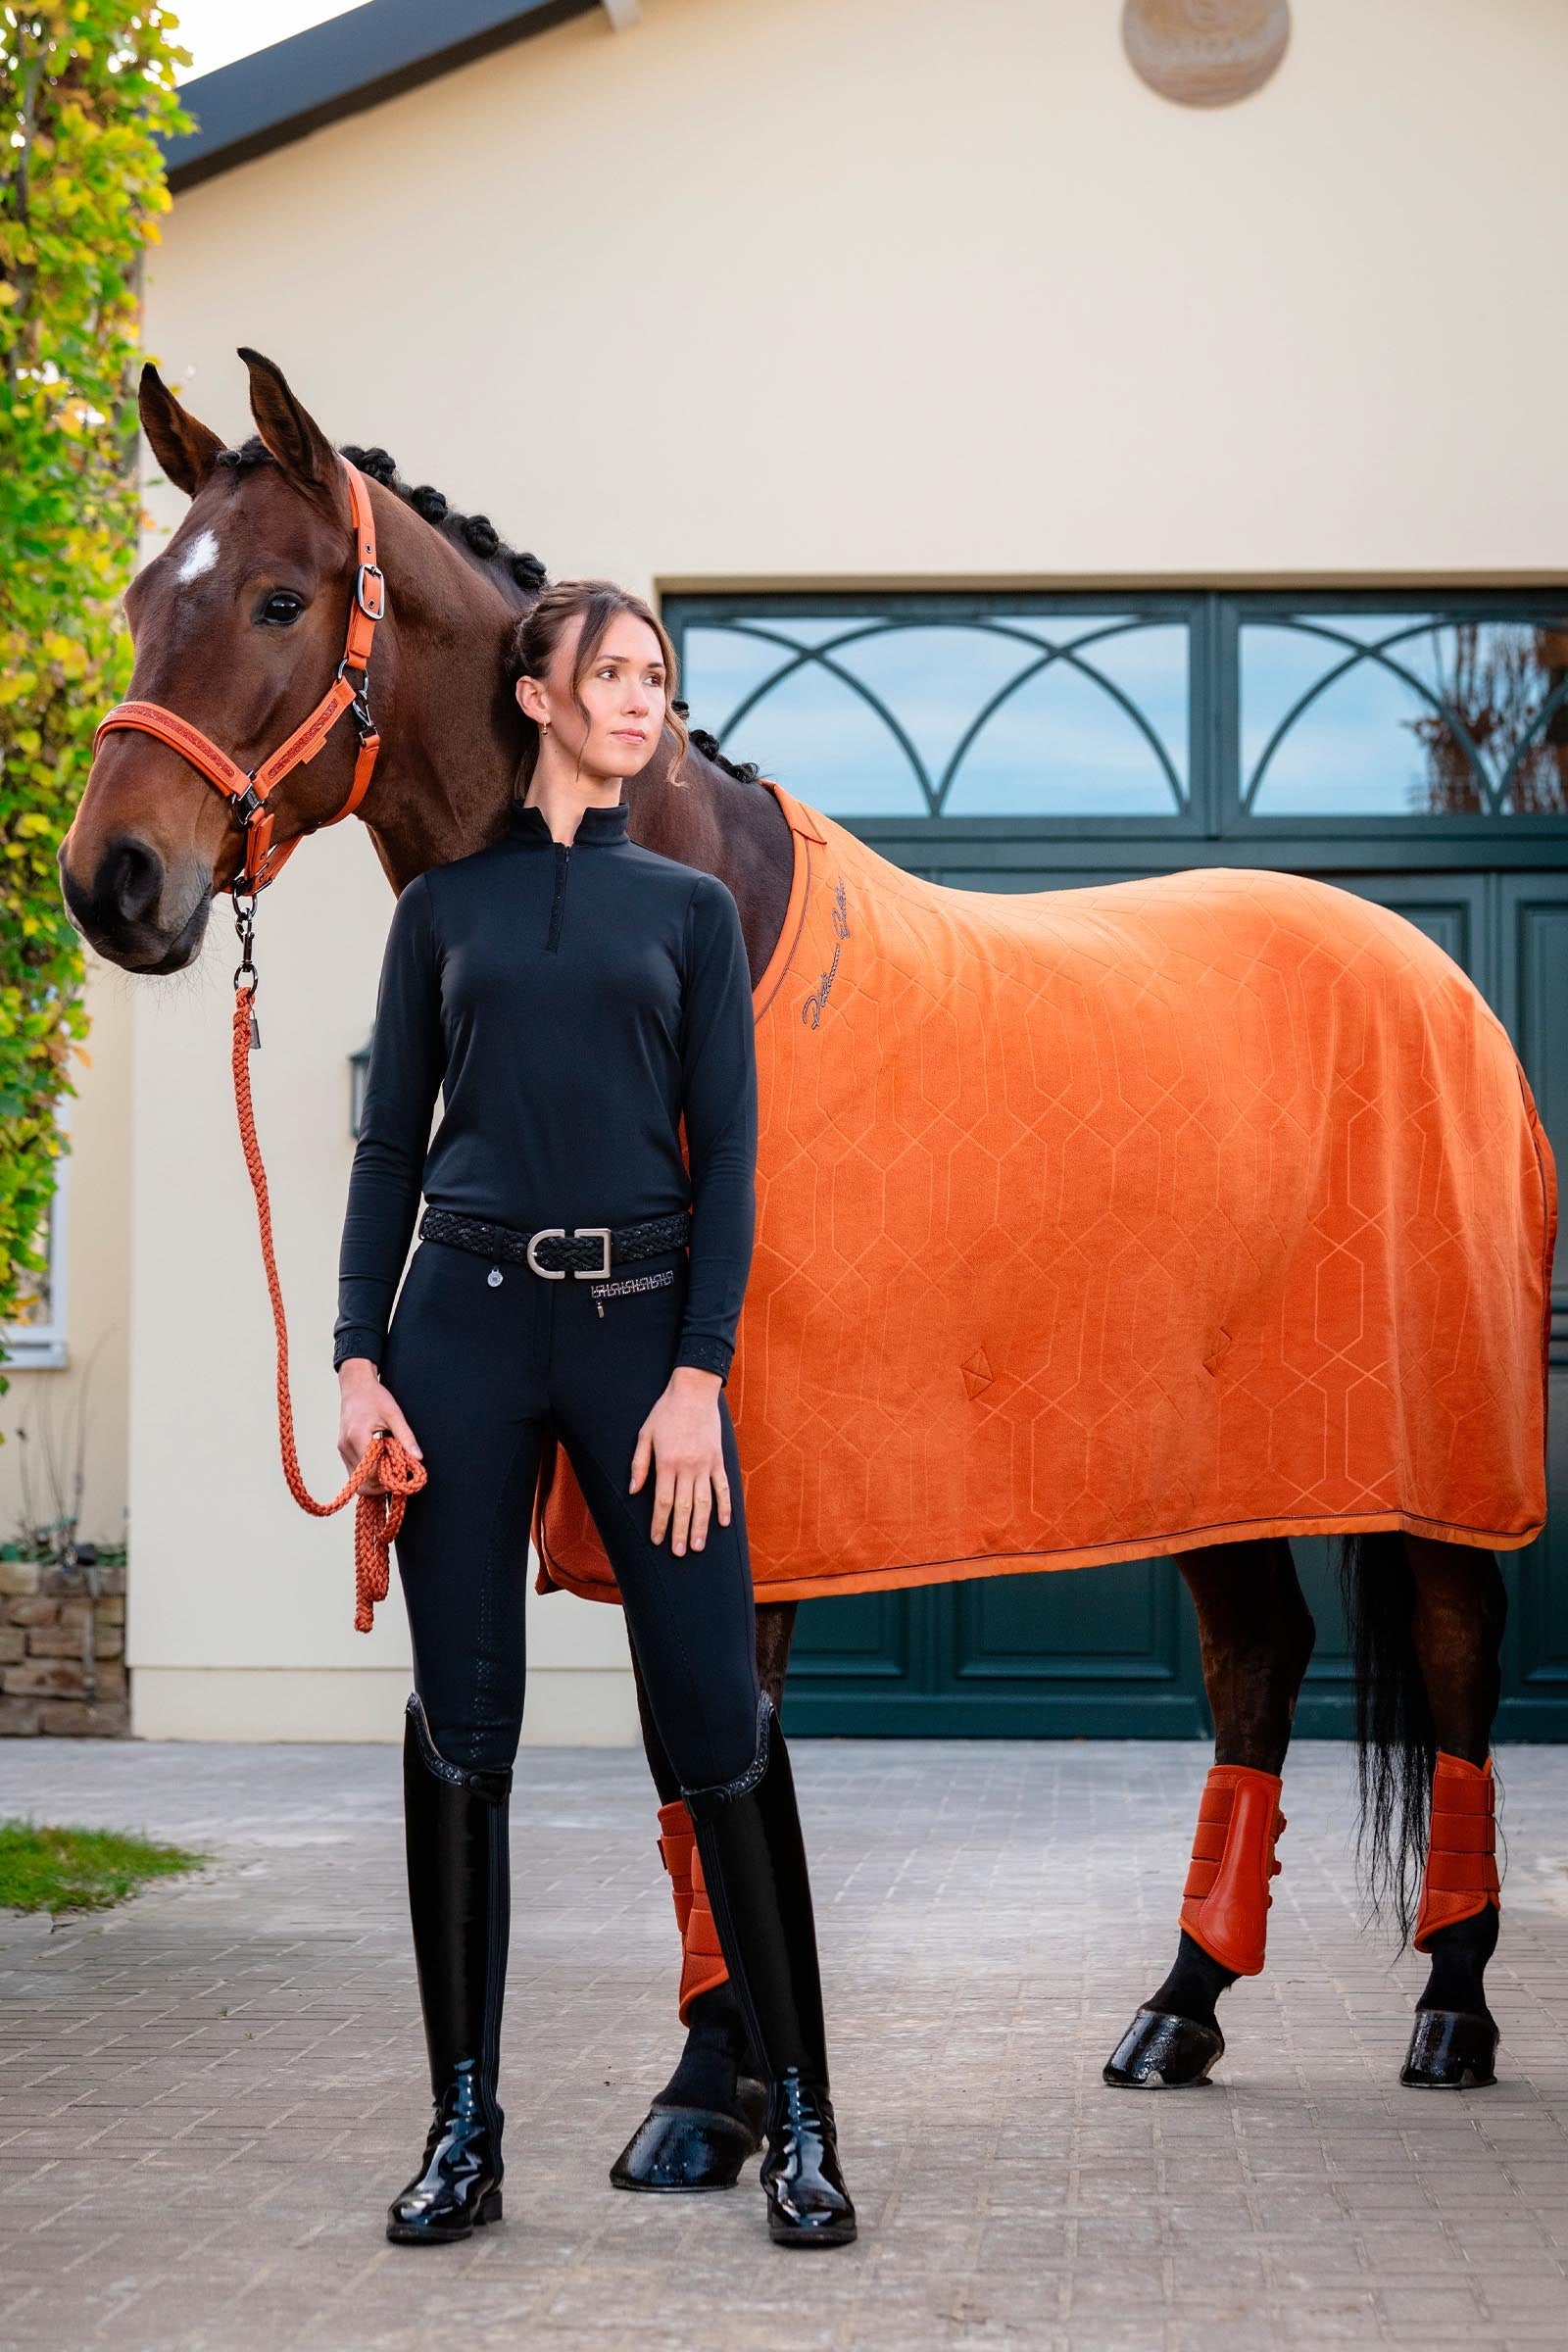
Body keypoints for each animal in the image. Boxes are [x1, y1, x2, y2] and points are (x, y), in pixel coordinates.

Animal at [61, 352, 1548, 2196]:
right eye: (141, 602)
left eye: (277, 598)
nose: (112, 882)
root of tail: (1437, 978)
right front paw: (737, 2089)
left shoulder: (731, 1481)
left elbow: (717, 1747)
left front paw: (711, 2094)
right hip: (1215, 1449)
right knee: (1260, 1663)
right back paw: (1180, 2009)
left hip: (1431, 1450)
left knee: (1460, 1656)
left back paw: (1454, 2009)